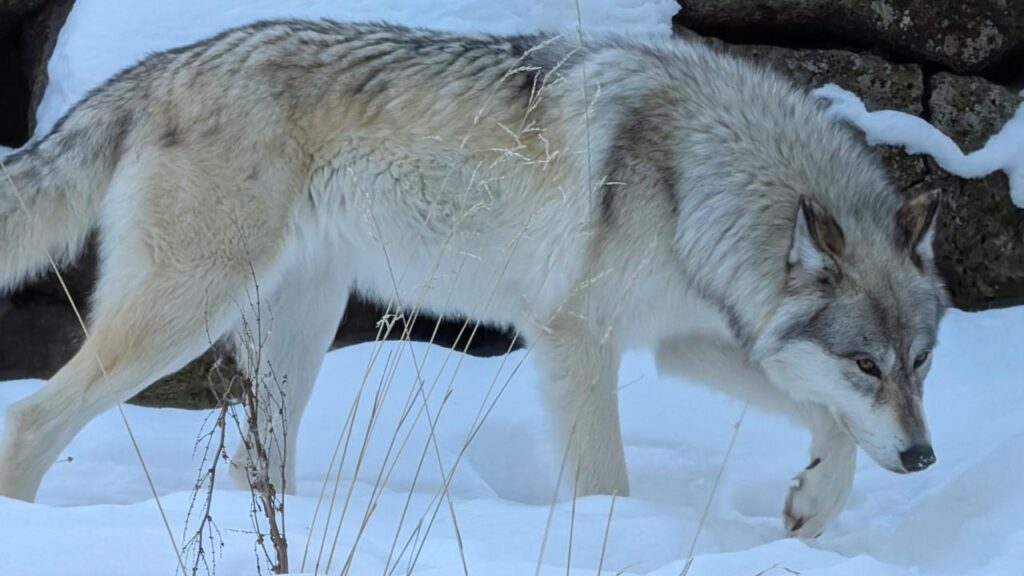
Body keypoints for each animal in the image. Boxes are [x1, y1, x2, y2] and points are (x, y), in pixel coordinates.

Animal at [0, 20, 946, 537]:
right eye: (867, 363)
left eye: (921, 363)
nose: (926, 457)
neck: (694, 171)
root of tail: (164, 65)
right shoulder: (576, 339)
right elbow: (607, 483)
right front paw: (616, 540)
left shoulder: (685, 342)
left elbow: (824, 419)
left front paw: (816, 503)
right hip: (183, 318)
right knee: (29, 418)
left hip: (294, 336)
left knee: (251, 466)